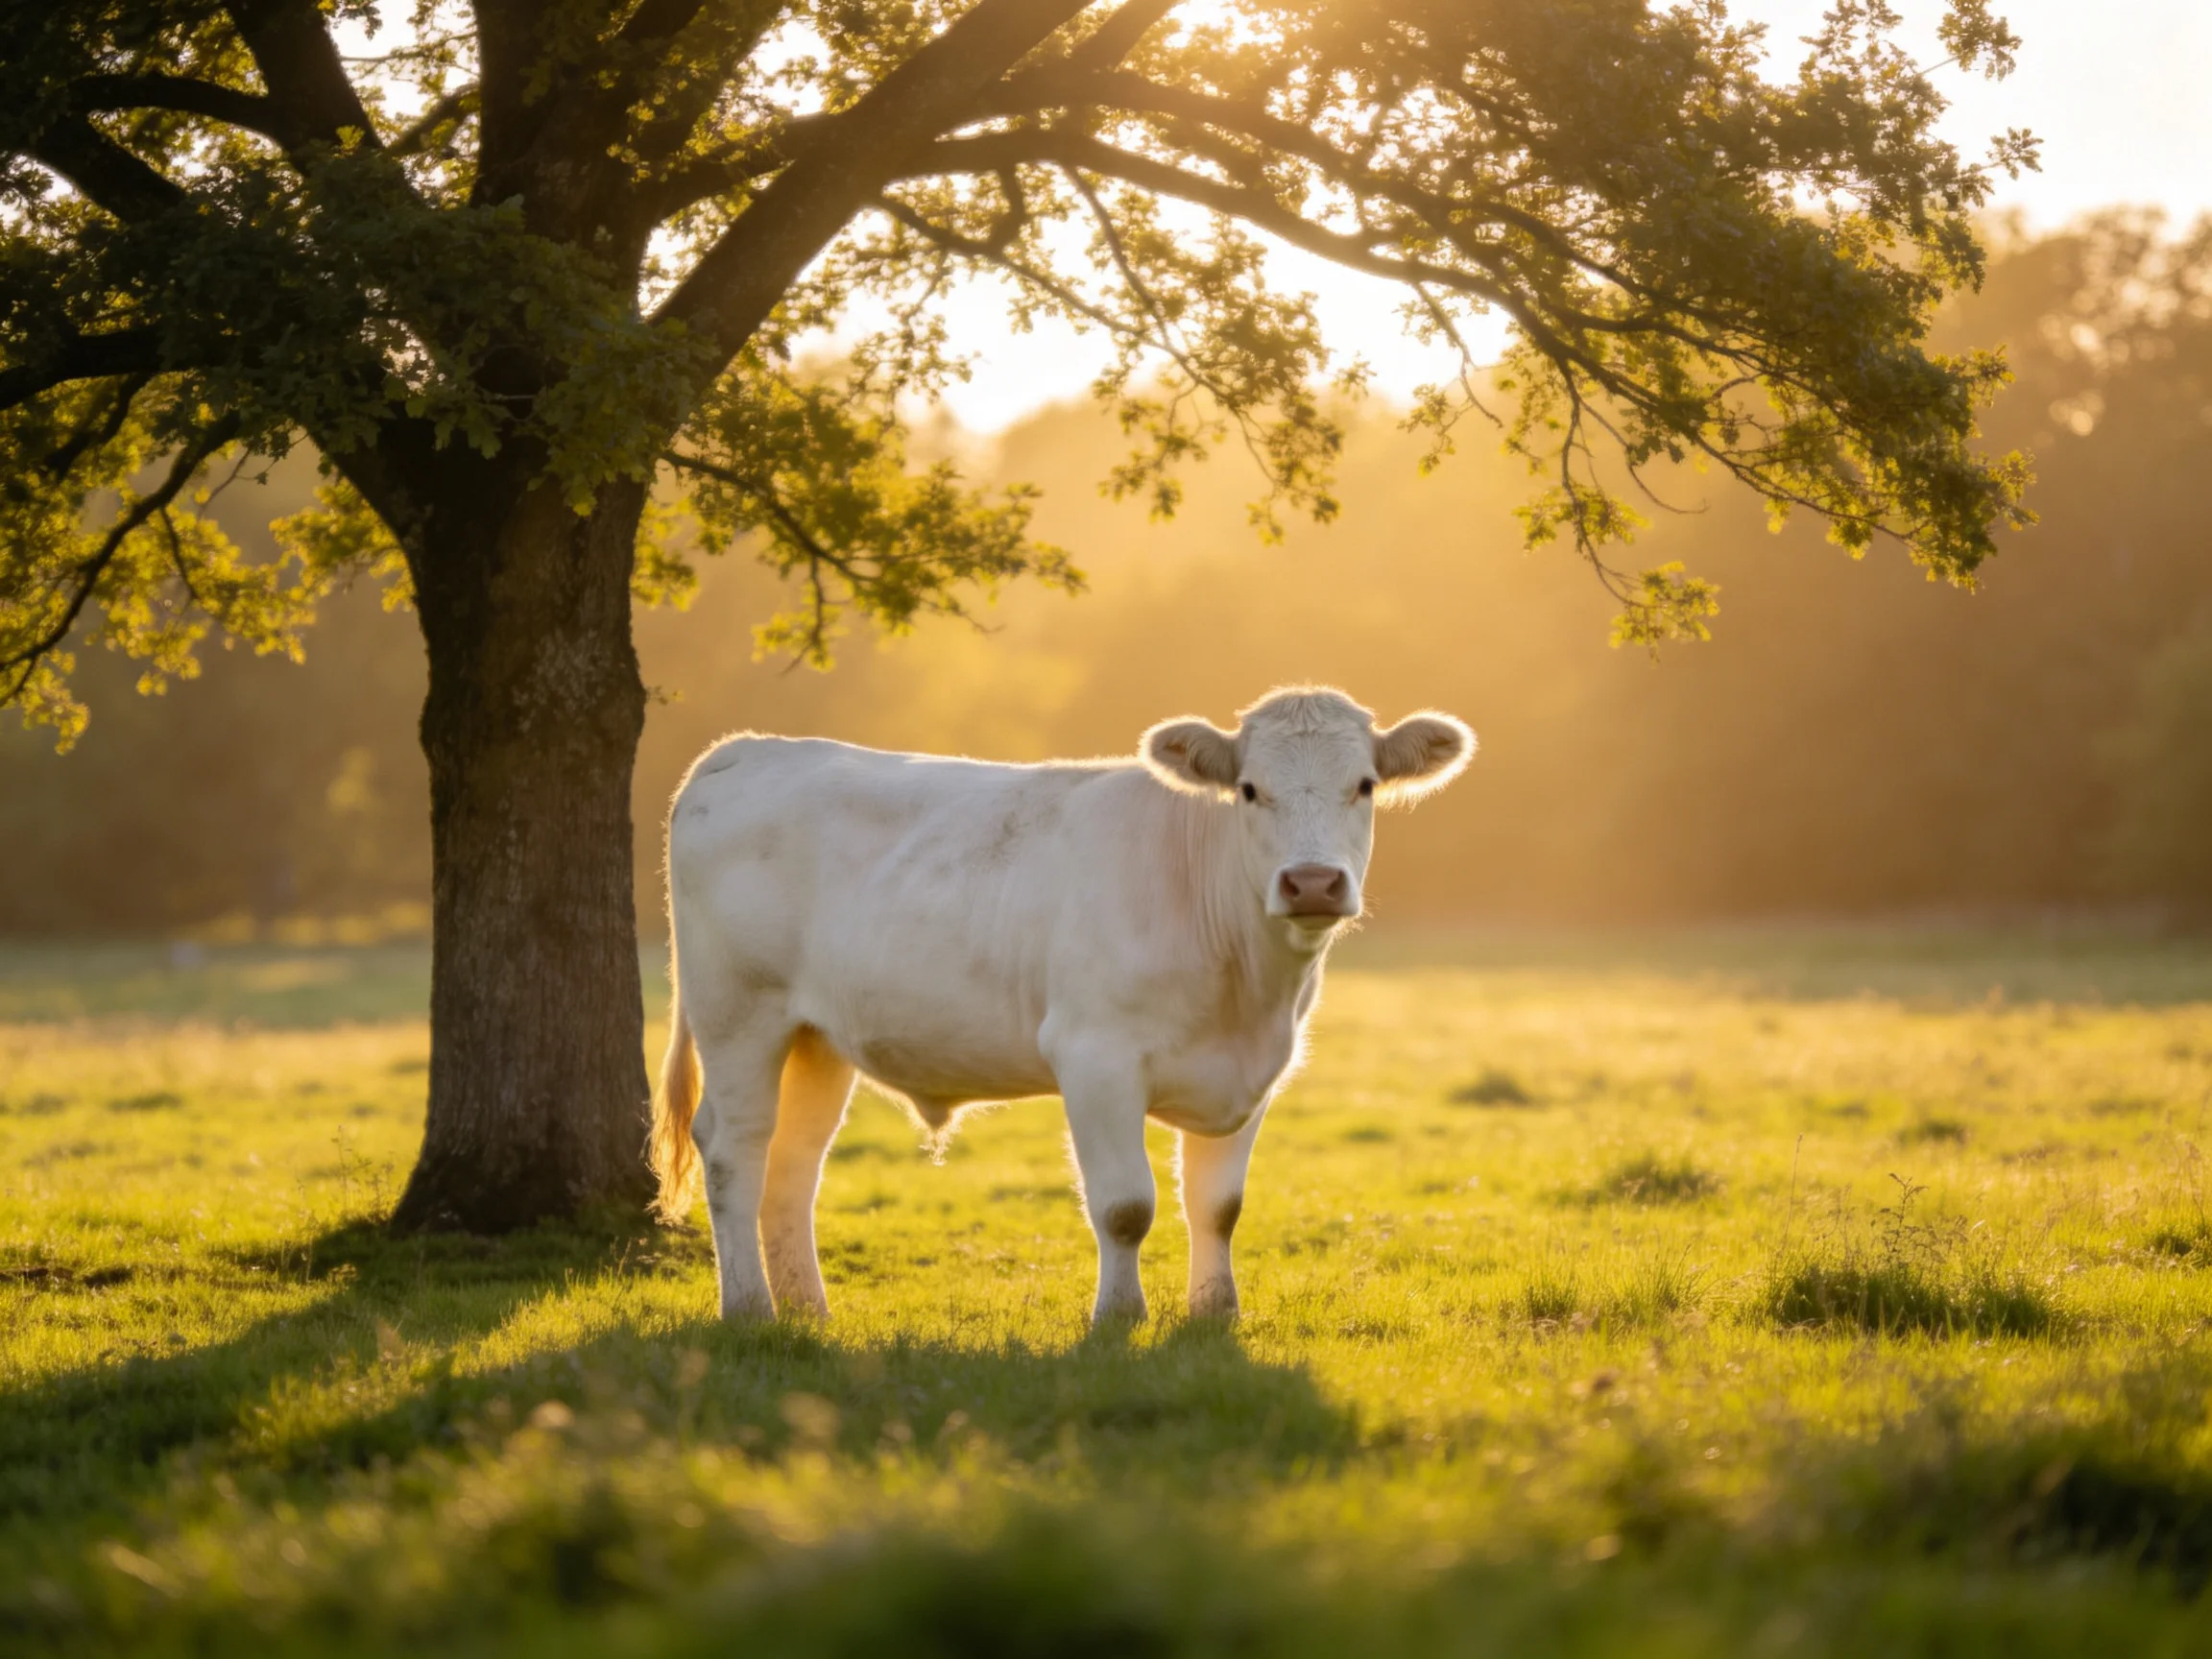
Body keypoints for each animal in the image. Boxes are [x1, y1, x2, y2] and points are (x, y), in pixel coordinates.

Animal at [650, 686, 1475, 1327]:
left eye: (1364, 785)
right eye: (1248, 789)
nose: (1311, 882)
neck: (1247, 990)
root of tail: (749, 750)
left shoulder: (1251, 1073)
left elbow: (1218, 1205)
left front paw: (1215, 1313)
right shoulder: (1094, 1056)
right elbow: (1125, 1206)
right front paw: (1118, 1318)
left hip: (815, 1036)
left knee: (794, 1161)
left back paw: (809, 1311)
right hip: (737, 1013)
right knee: (734, 1150)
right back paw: (750, 1310)